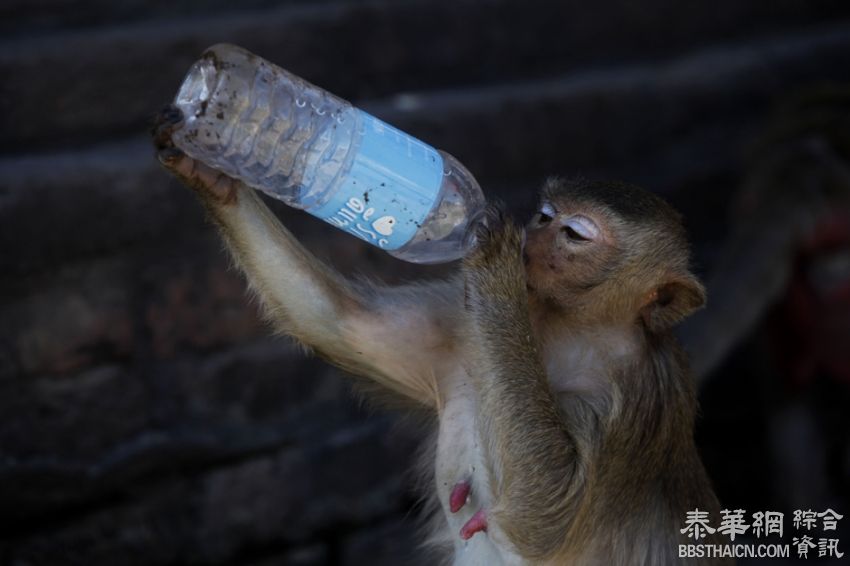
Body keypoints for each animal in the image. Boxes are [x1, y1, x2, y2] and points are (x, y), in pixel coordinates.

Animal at [152, 107, 728, 566]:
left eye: (574, 234)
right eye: (546, 216)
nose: (532, 236)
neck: (569, 326)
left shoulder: (631, 401)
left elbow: (547, 517)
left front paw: (494, 258)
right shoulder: (465, 331)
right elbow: (341, 323)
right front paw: (214, 165)